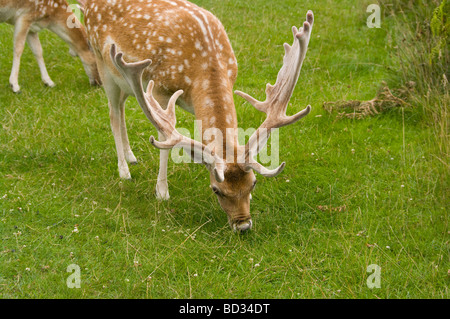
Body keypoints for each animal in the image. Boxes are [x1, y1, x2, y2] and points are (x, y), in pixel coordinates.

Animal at [79, 0, 314, 231]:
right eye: (216, 189)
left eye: (253, 184)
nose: (243, 225)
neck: (203, 64)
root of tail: (88, 4)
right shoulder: (160, 90)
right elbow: (164, 141)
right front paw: (161, 192)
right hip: (103, 63)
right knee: (113, 114)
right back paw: (124, 170)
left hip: (124, 80)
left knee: (121, 107)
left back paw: (131, 156)